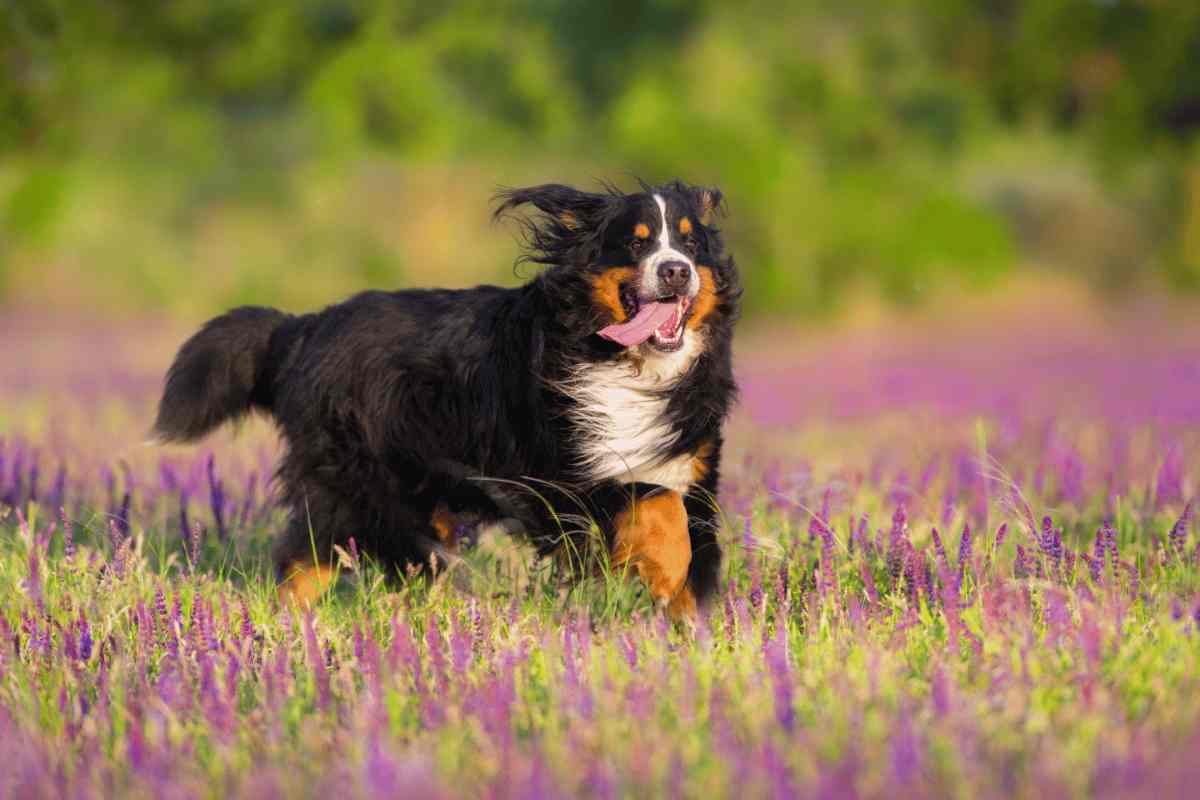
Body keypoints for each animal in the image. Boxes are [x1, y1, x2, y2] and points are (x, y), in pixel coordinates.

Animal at [153, 181, 739, 618]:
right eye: (636, 243)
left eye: (690, 244)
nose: (676, 270)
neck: (629, 366)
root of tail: (306, 326)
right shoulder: (565, 476)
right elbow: (649, 498)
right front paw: (665, 571)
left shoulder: (692, 468)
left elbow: (686, 536)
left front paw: (686, 628)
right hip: (357, 486)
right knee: (322, 558)